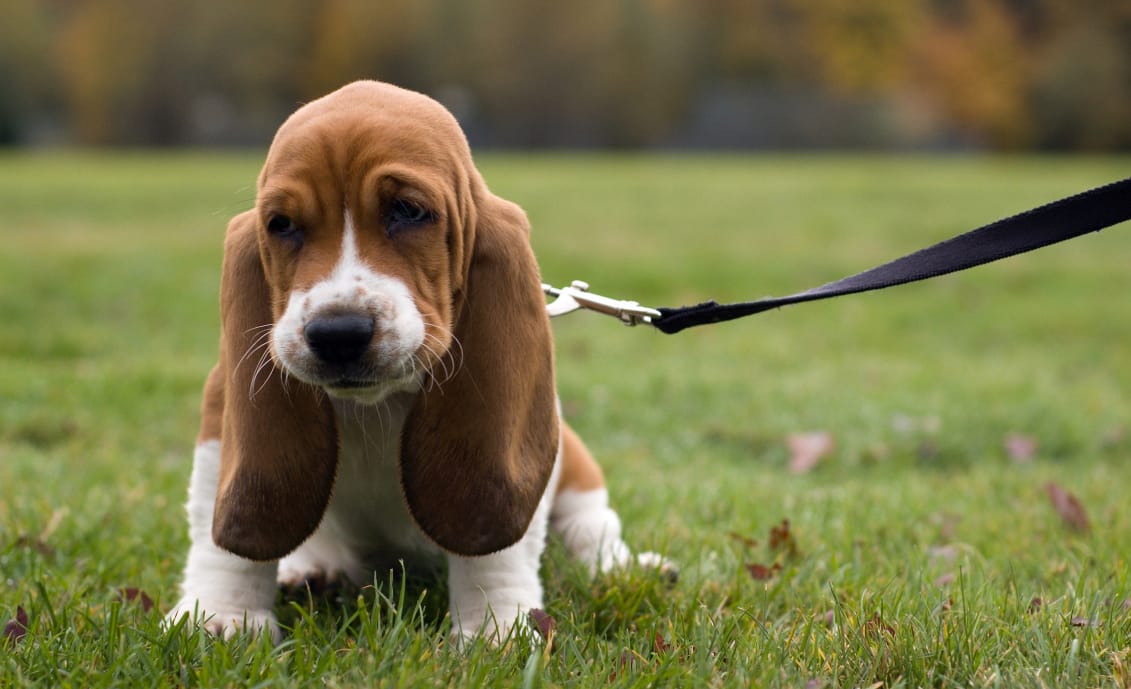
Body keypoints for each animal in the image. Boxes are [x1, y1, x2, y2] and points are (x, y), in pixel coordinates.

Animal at [167, 82, 660, 642]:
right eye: (281, 225)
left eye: (408, 210)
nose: (338, 334)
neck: (375, 405)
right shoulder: (221, 414)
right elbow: (220, 540)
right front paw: (219, 618)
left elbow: (498, 552)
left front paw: (496, 629)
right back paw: (312, 569)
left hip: (576, 470)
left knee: (593, 529)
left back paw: (626, 568)